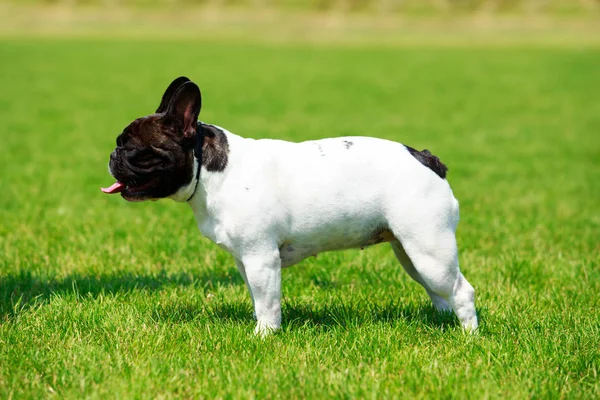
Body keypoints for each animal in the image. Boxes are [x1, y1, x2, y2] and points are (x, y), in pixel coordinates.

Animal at [102, 76, 478, 334]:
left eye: (133, 148)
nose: (112, 154)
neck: (210, 171)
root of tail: (426, 158)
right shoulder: (245, 261)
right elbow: (258, 299)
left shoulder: (261, 258)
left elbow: (268, 302)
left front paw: (264, 335)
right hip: (411, 252)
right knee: (439, 292)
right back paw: (444, 324)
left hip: (429, 248)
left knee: (462, 290)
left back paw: (469, 336)